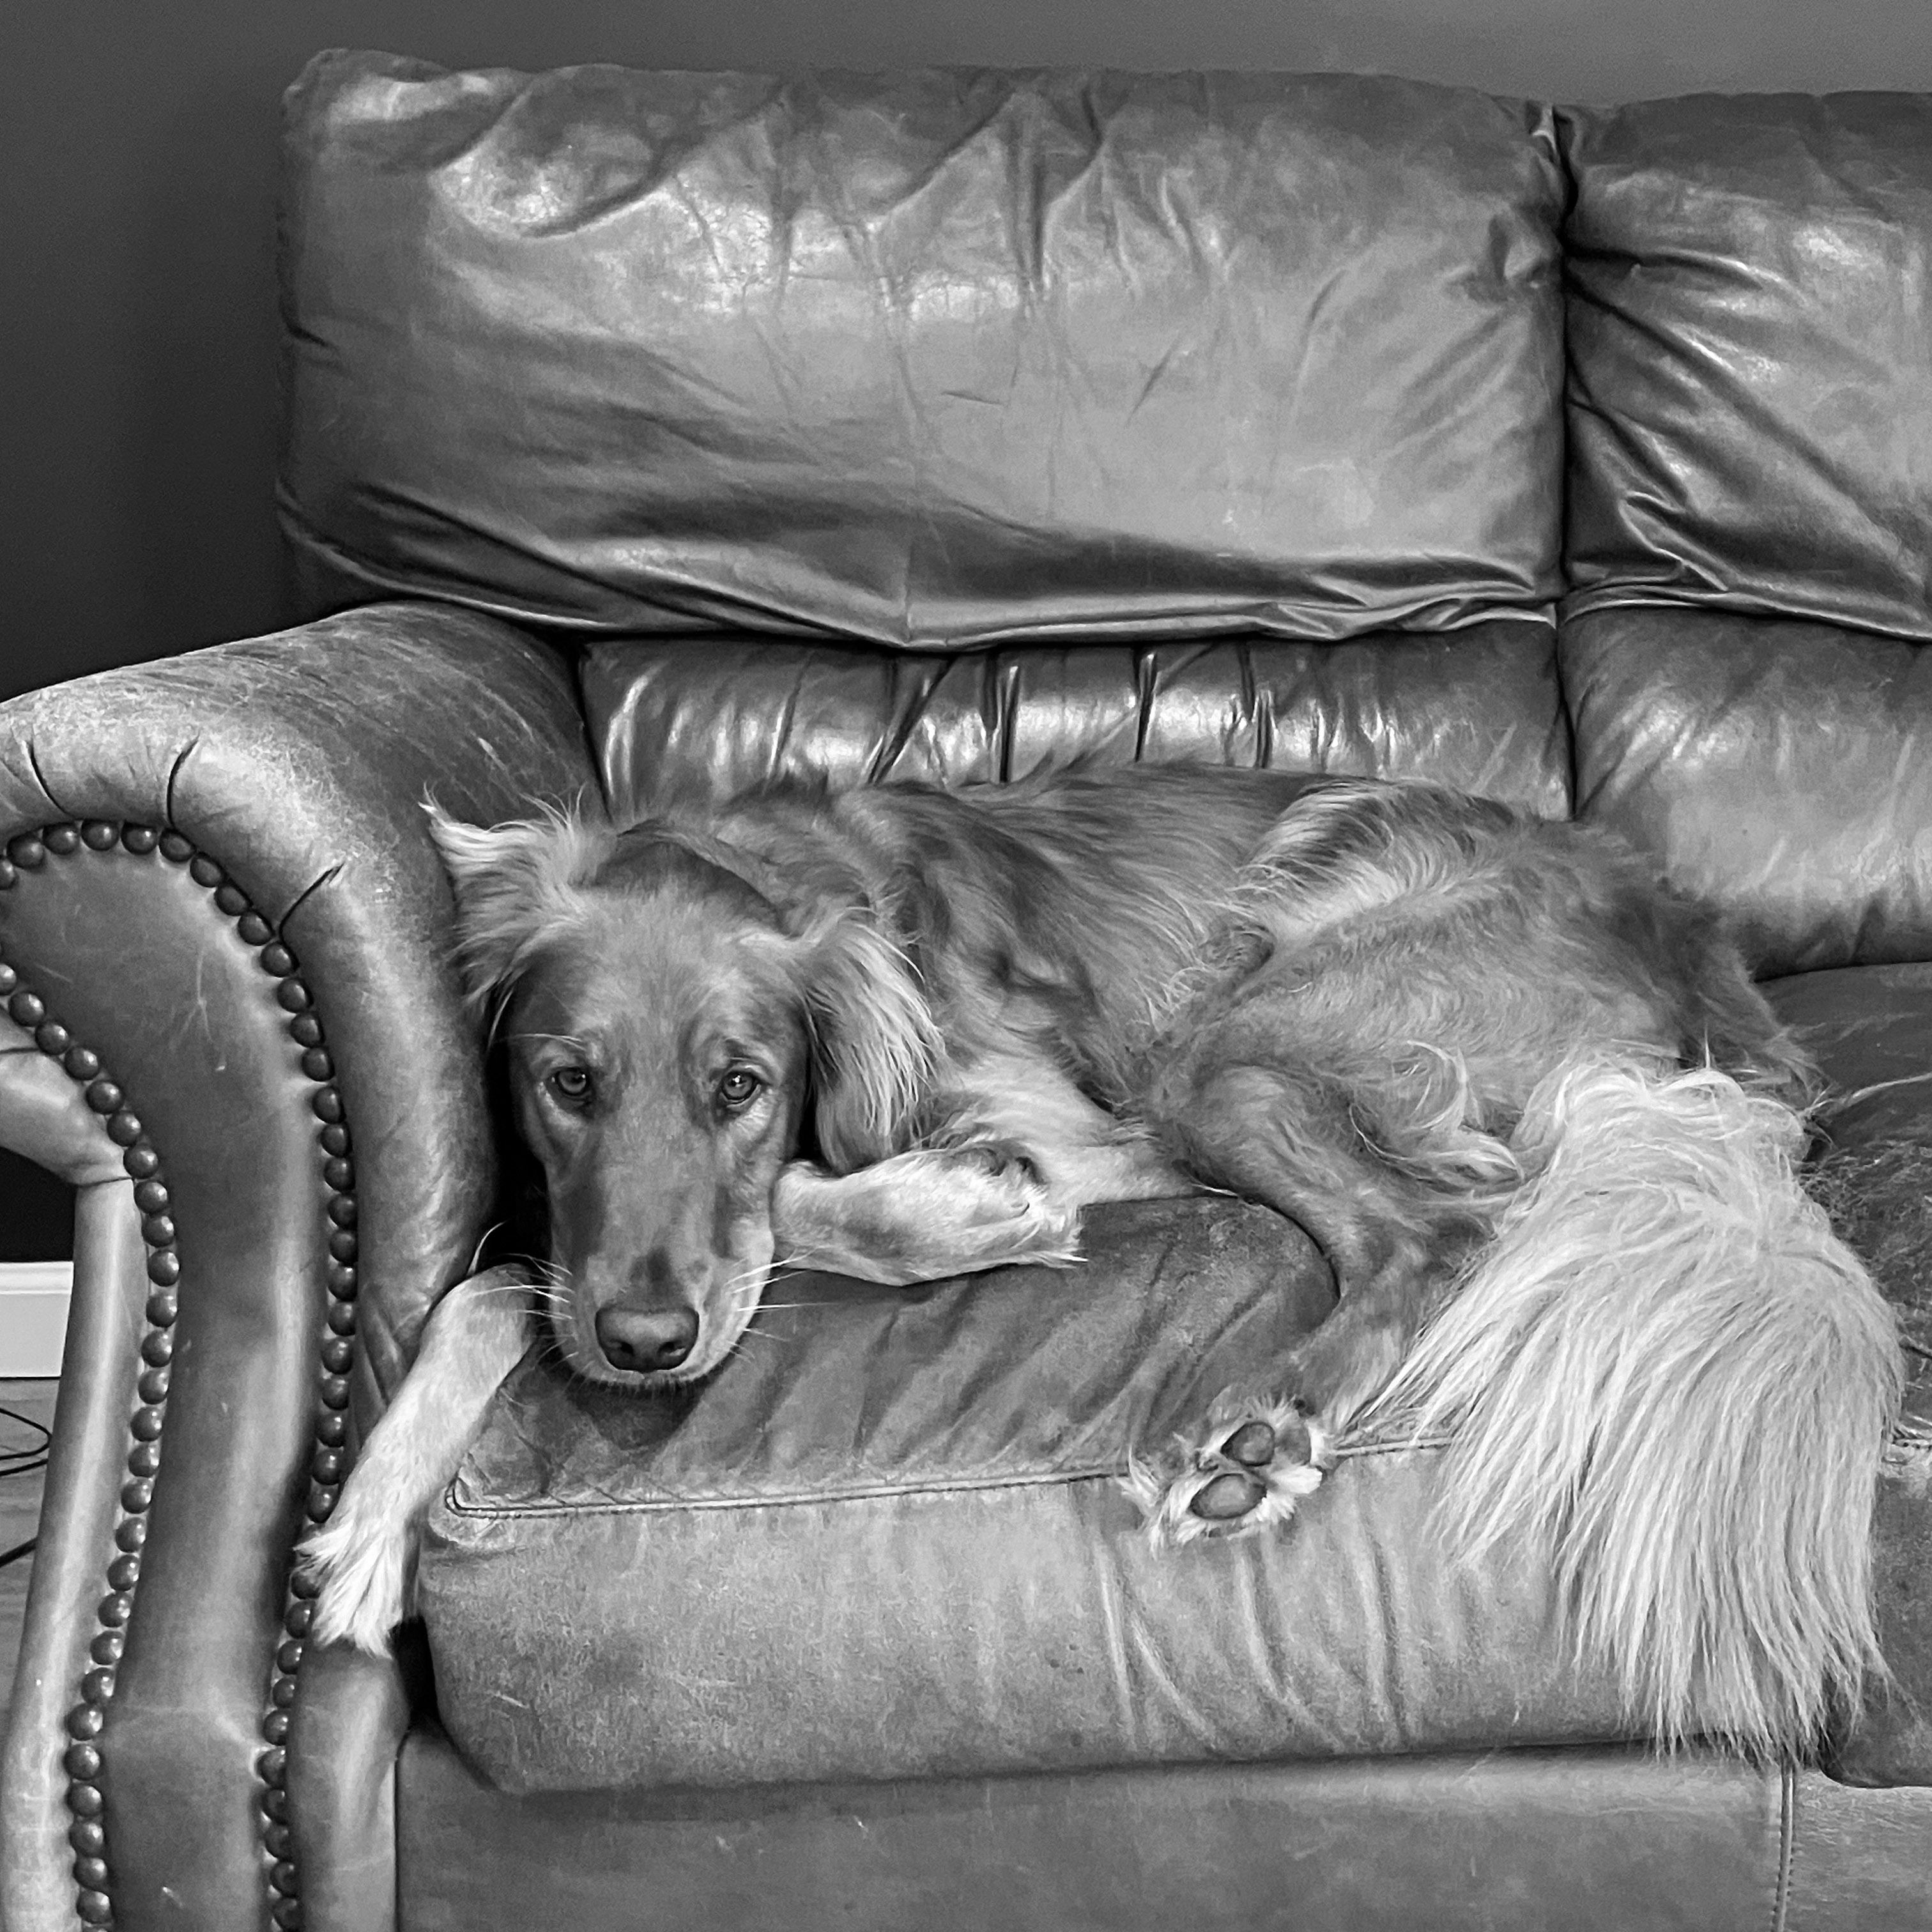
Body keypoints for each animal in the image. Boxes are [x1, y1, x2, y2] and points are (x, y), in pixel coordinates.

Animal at [305, 761, 1901, 1761]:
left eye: (742, 1088)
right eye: (565, 1084)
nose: (643, 1352)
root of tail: (1706, 978)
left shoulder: (1084, 1131)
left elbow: (808, 1200)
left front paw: (952, 1212)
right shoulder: (588, 1257)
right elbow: (493, 1287)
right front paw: (372, 1521)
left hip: (1232, 1042)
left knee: (1434, 1232)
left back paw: (1260, 1431)